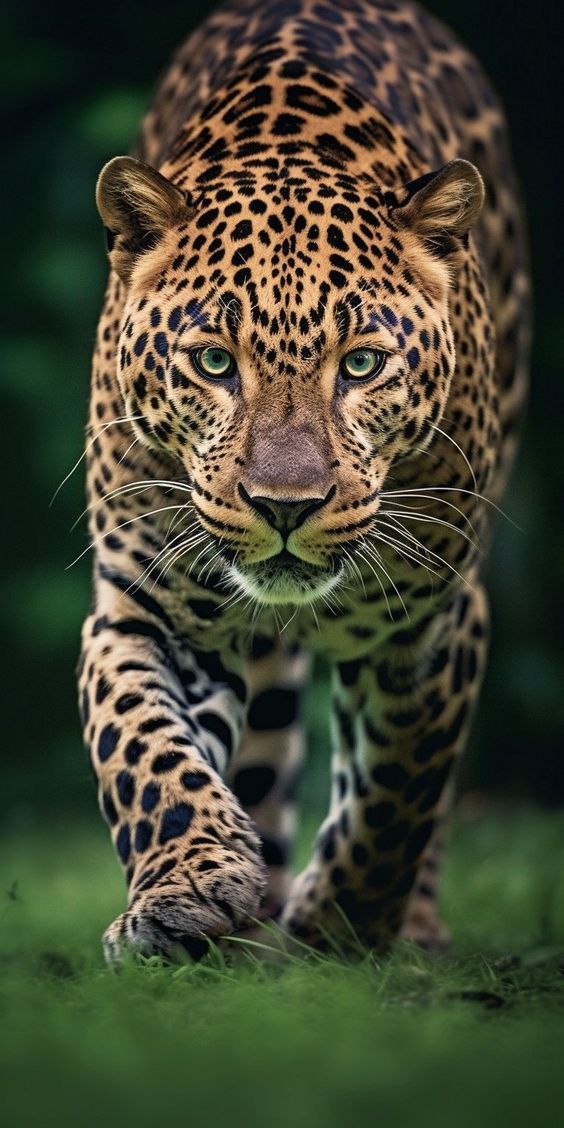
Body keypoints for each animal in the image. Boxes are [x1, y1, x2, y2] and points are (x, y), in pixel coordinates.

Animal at [78, 0, 527, 961]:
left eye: (361, 364)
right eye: (214, 361)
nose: (286, 509)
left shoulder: (433, 625)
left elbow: (399, 789)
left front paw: (341, 926)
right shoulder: (145, 606)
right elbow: (142, 750)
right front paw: (185, 892)